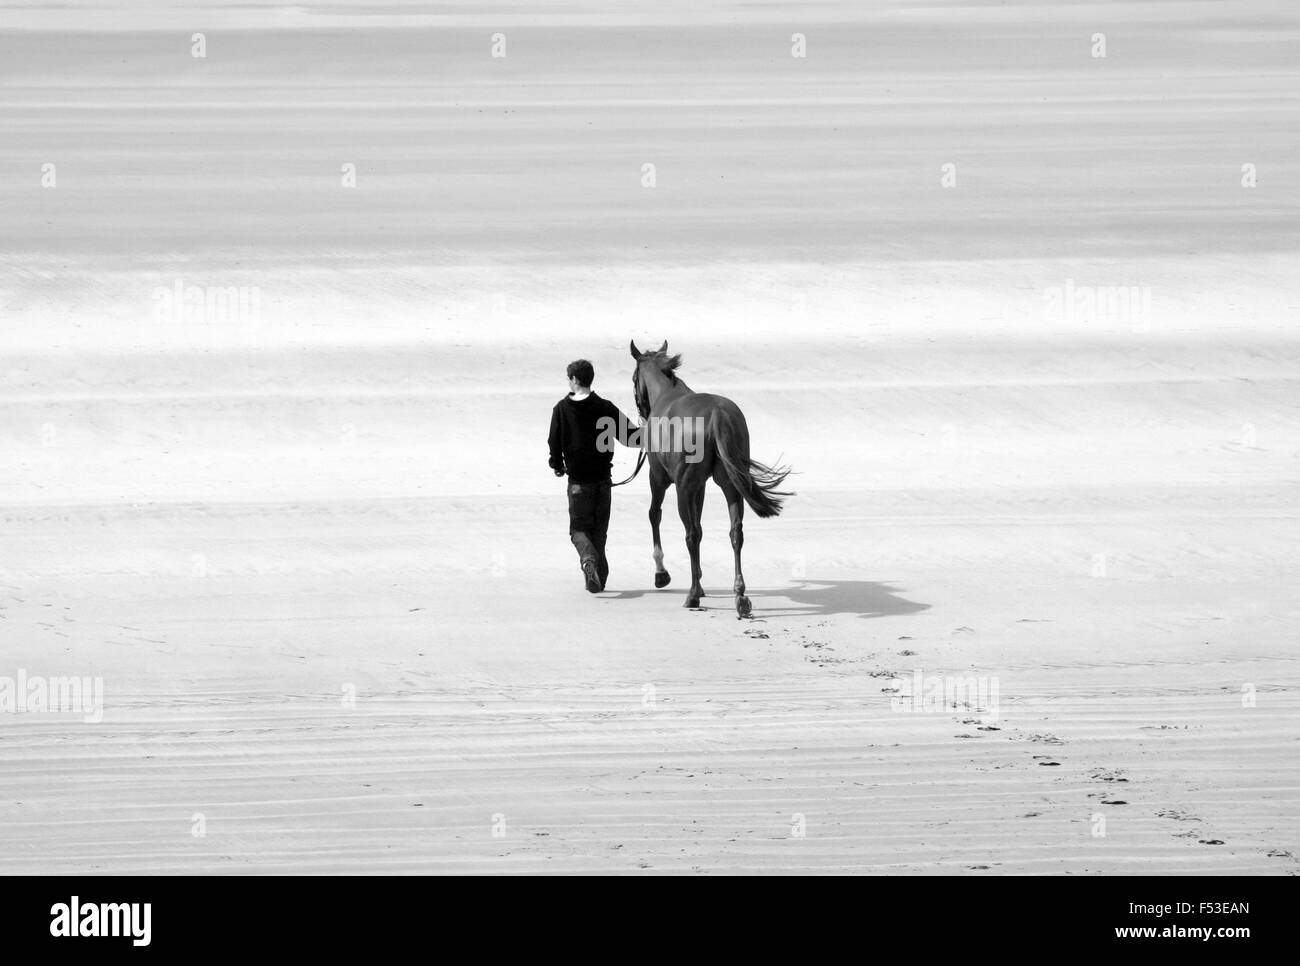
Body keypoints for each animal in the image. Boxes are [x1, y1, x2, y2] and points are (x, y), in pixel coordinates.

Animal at [629, 340, 790, 618]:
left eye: (633, 377)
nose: (641, 411)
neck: (665, 394)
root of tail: (717, 414)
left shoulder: (658, 478)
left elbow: (655, 515)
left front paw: (662, 573)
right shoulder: (700, 486)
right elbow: (703, 526)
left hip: (683, 488)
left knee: (690, 534)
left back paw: (693, 595)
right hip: (731, 485)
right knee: (735, 533)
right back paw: (740, 595)